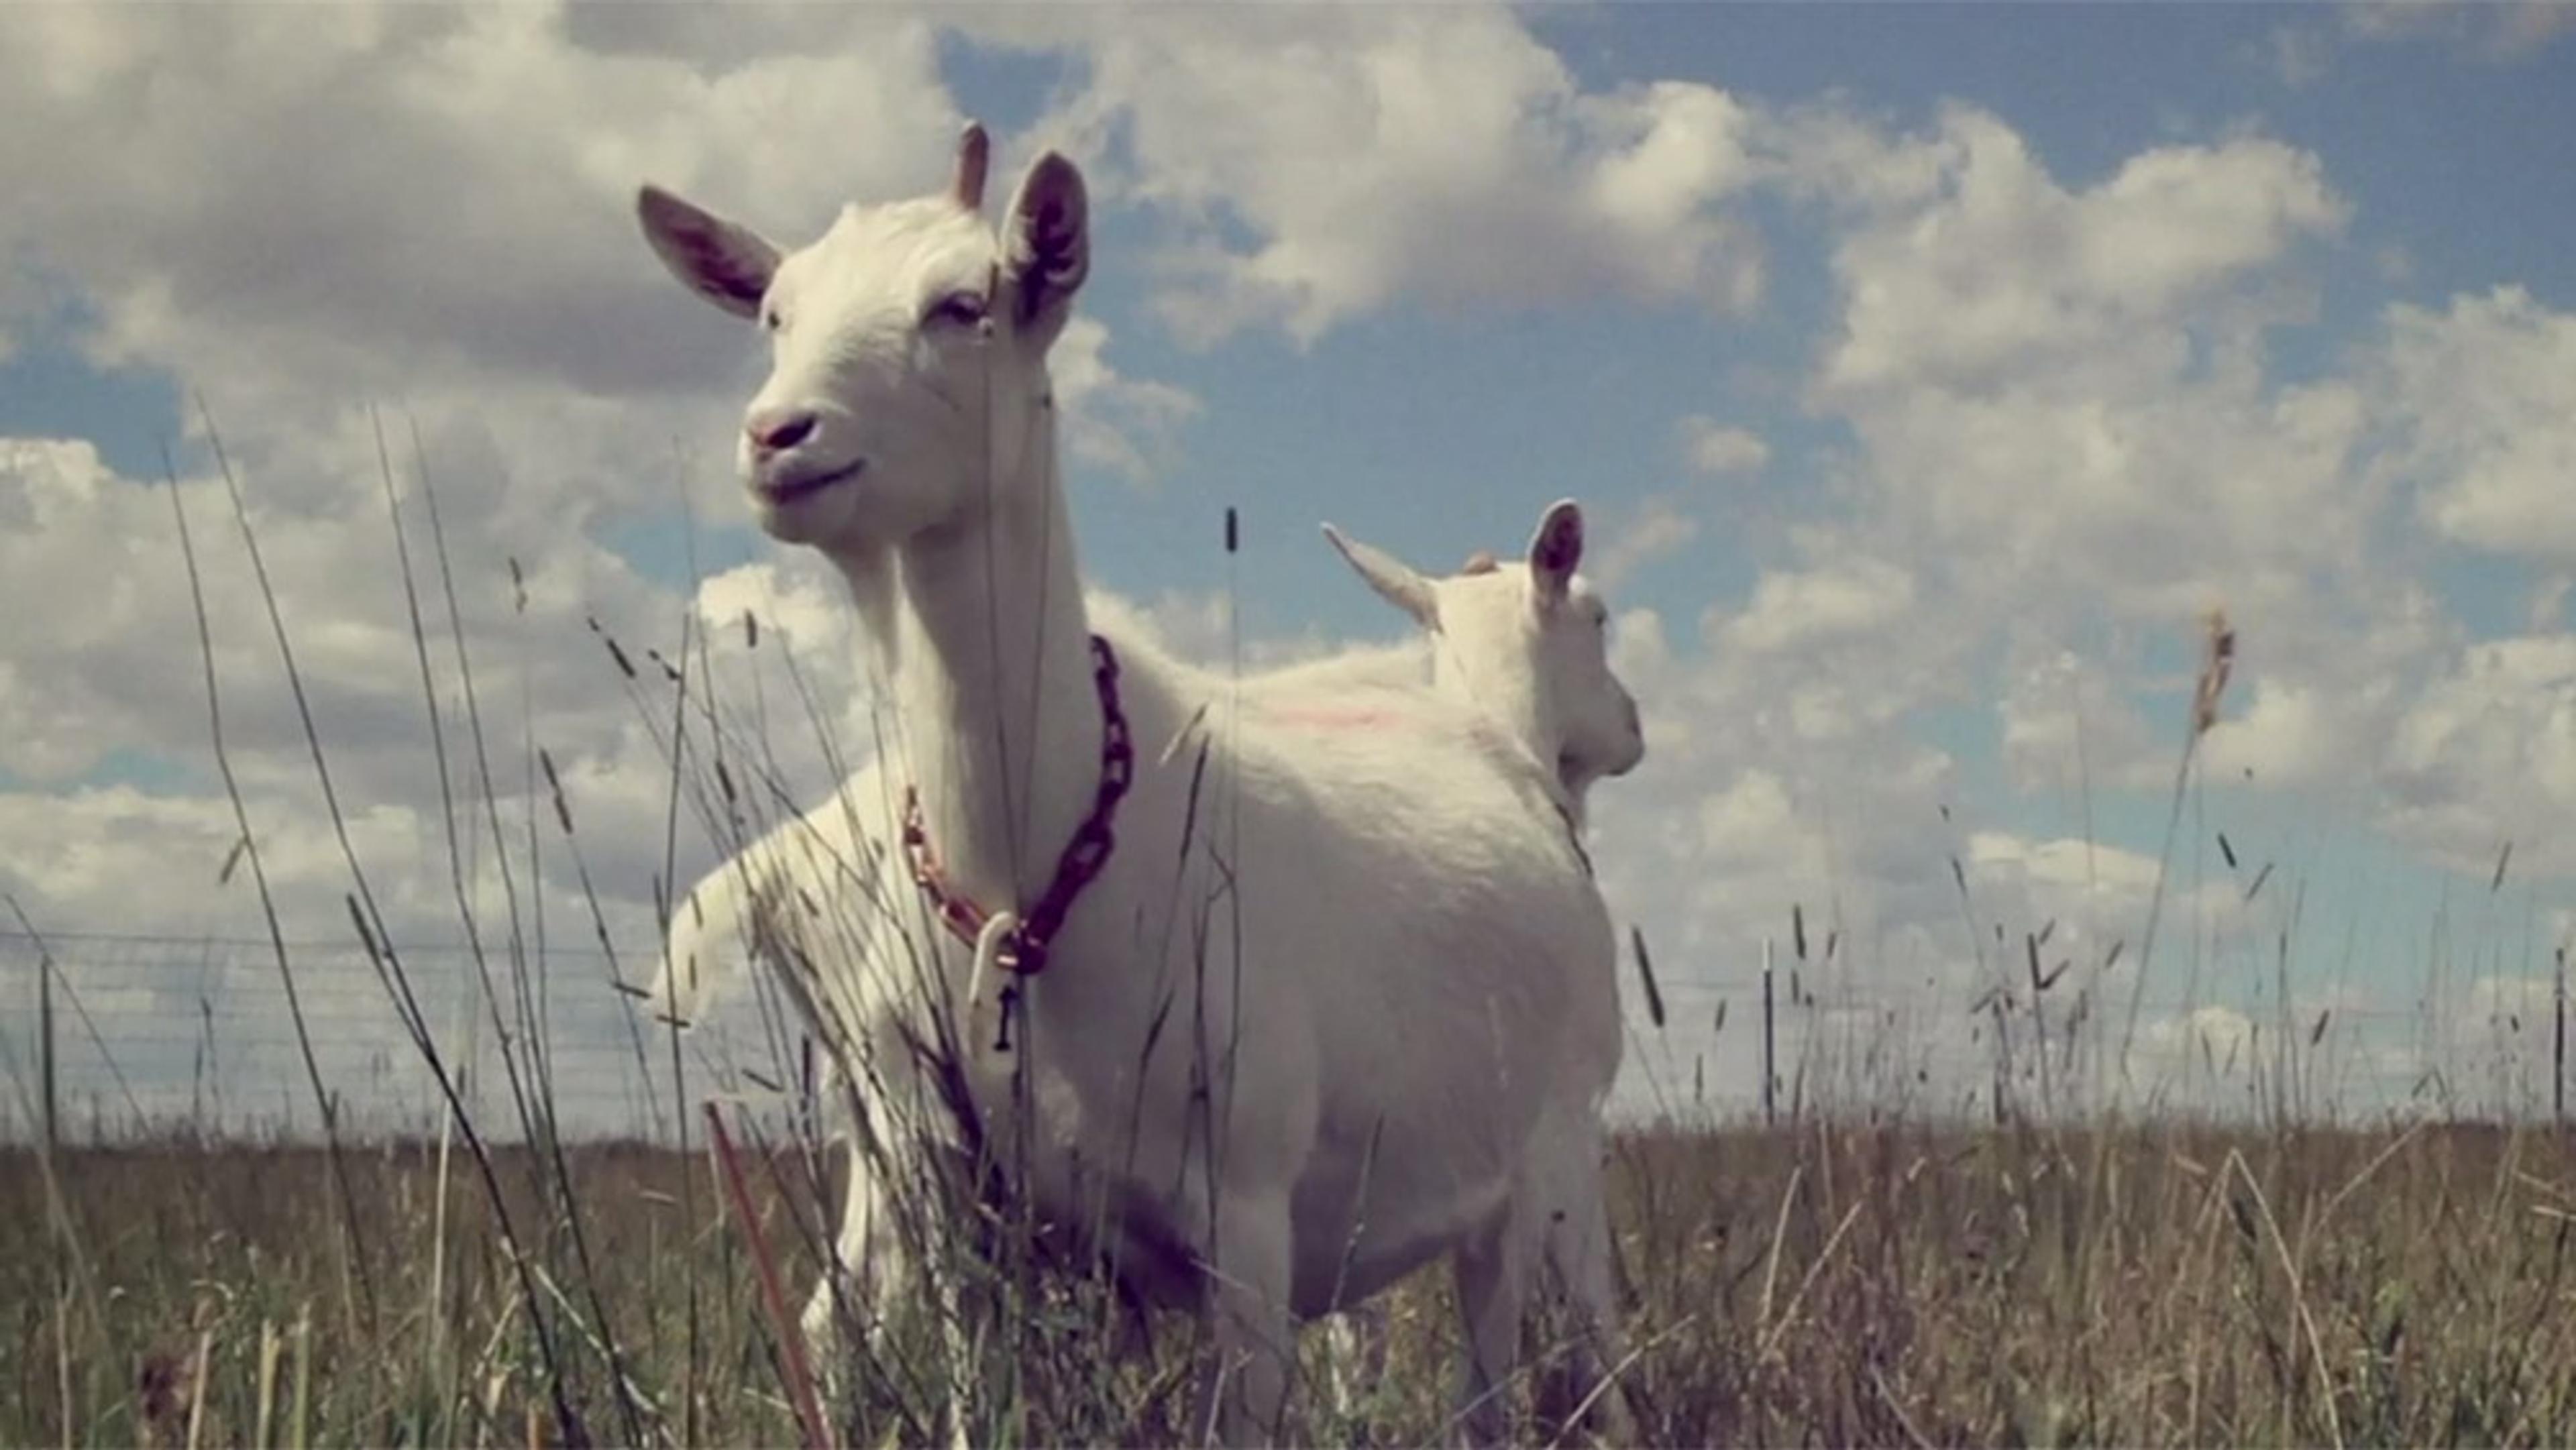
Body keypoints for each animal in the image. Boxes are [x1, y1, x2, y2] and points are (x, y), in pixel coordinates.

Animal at [631, 130, 1617, 1442]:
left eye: (967, 303)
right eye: (775, 314)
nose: (780, 436)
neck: (1041, 866)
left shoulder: (1250, 1219)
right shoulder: (971, 1215)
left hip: (1542, 1154)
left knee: (1544, 1366)